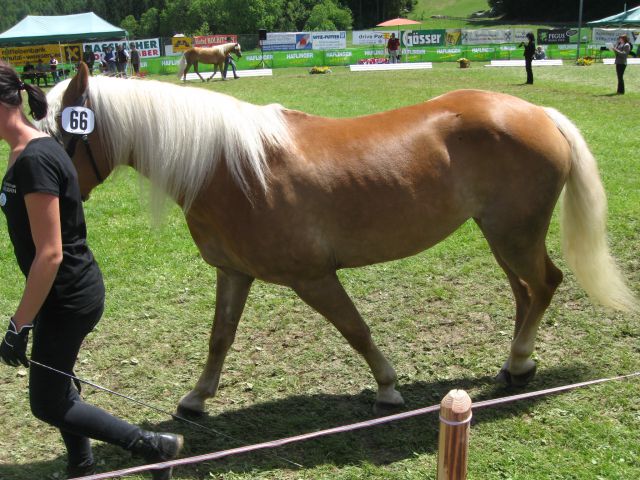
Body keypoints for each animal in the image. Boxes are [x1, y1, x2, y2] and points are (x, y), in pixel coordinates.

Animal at [42, 64, 636, 416]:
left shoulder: (312, 277)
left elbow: (355, 329)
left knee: (545, 284)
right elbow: (220, 338)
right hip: (500, 236)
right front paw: (196, 397)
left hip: (514, 235)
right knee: (525, 293)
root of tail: (539, 113)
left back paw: (518, 361)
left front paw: (388, 387)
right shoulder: (234, 272)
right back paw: (516, 364)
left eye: (60, 137)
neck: (232, 165)